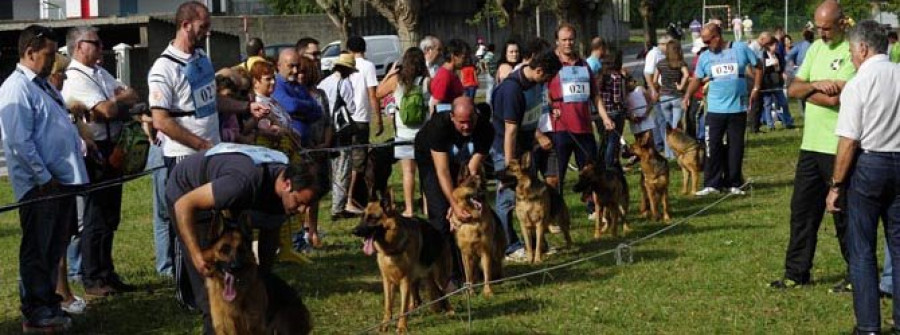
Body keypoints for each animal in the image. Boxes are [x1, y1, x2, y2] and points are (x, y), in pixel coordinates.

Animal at [350, 197, 454, 334]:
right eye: (362, 217)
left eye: (373, 218)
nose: (354, 231)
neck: (392, 248)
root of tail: (439, 234)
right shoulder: (388, 281)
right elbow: (388, 305)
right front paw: (385, 325)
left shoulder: (404, 280)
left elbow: (402, 308)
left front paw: (402, 327)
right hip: (419, 279)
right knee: (417, 299)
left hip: (439, 277)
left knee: (443, 293)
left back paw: (450, 311)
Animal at [448, 168, 506, 296]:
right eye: (472, 185)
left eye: (483, 185)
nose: (483, 195)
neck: (472, 221)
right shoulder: (465, 254)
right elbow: (468, 275)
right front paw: (470, 292)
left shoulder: (486, 251)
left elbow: (487, 274)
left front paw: (488, 291)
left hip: (496, 252)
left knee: (497, 264)